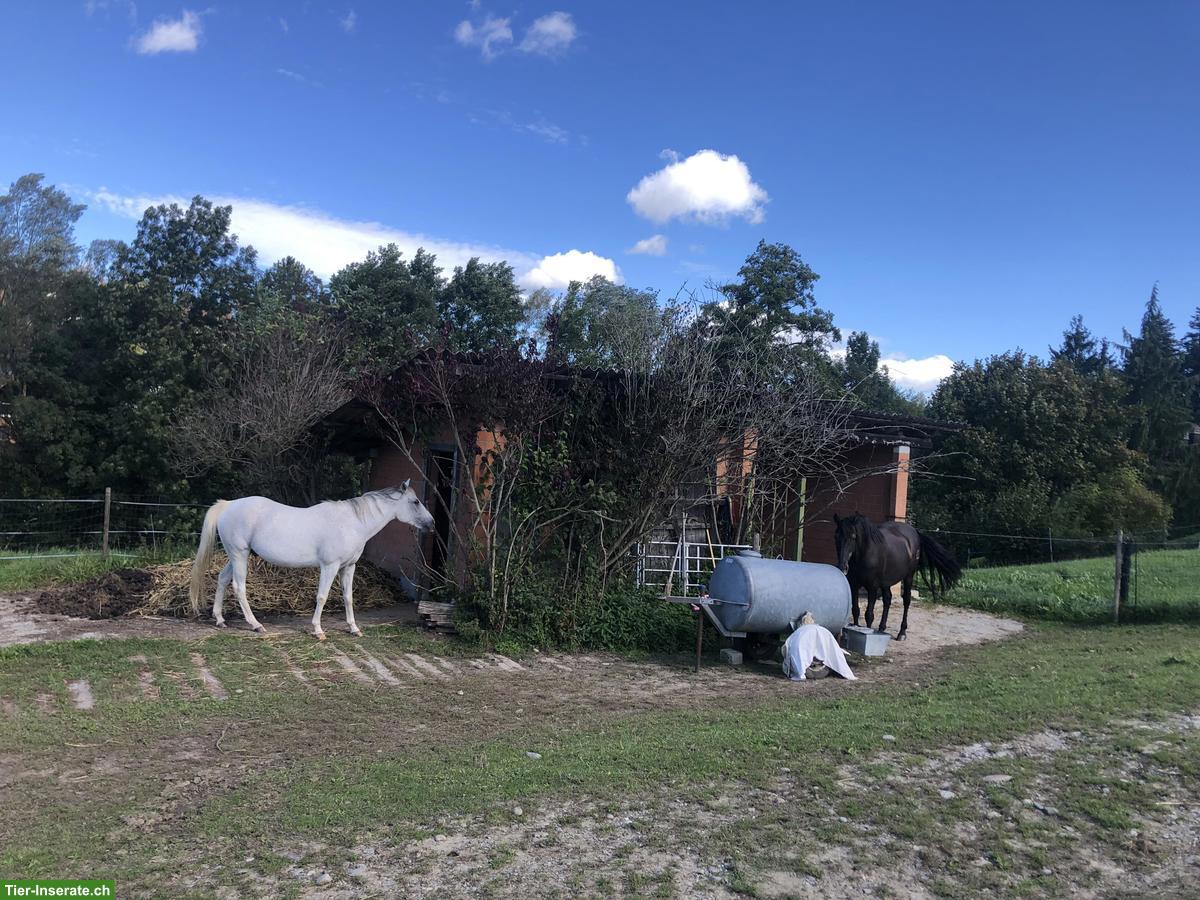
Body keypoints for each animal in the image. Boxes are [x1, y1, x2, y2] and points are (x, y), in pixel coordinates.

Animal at [189, 482, 435, 640]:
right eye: (415, 502)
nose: (432, 523)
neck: (352, 522)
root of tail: (229, 505)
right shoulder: (330, 566)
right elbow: (322, 597)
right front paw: (318, 630)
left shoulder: (349, 567)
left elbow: (348, 598)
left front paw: (354, 628)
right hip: (240, 555)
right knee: (239, 587)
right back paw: (256, 625)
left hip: (236, 555)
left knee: (222, 580)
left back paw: (220, 619)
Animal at [833, 512, 961, 641]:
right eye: (836, 537)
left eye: (853, 536)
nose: (843, 567)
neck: (866, 553)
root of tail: (915, 532)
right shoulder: (854, 585)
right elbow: (856, 611)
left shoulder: (872, 587)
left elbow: (869, 614)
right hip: (886, 581)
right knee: (887, 599)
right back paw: (882, 628)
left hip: (908, 577)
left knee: (906, 601)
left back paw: (902, 633)